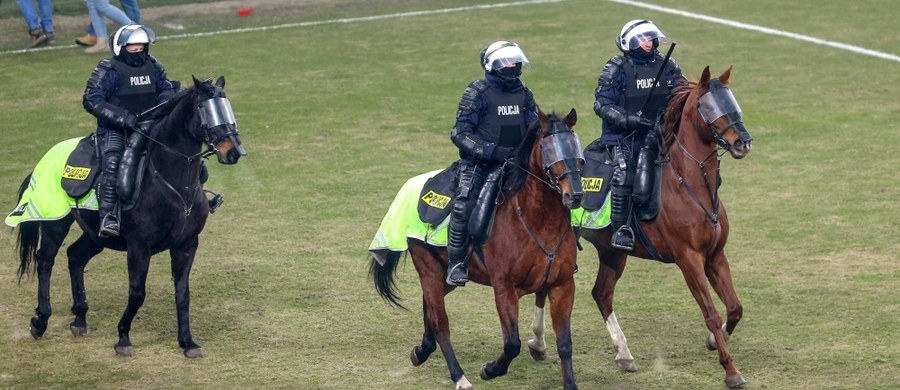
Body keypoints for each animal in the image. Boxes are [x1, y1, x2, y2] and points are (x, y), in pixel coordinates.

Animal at [14, 74, 246, 358]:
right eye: (205, 109)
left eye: (226, 107)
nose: (233, 152)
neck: (171, 184)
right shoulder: (139, 247)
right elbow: (137, 293)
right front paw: (123, 337)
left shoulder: (187, 245)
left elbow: (182, 293)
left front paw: (187, 342)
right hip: (55, 223)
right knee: (45, 261)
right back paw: (41, 320)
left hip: (96, 235)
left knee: (75, 257)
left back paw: (79, 319)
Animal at [370, 109, 584, 390]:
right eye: (548, 150)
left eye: (576, 149)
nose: (575, 195)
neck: (539, 222)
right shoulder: (504, 288)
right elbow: (512, 343)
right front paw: (490, 369)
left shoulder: (562, 285)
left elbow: (565, 344)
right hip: (428, 266)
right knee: (440, 321)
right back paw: (459, 377)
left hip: (445, 274)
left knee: (429, 306)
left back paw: (422, 350)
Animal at [532, 66, 748, 386]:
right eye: (707, 106)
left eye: (731, 100)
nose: (742, 142)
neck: (687, 183)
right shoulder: (689, 260)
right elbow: (710, 312)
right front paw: (731, 371)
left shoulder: (715, 256)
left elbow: (734, 308)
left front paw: (713, 340)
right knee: (545, 289)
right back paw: (537, 344)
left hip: (611, 252)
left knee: (601, 294)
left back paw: (623, 354)